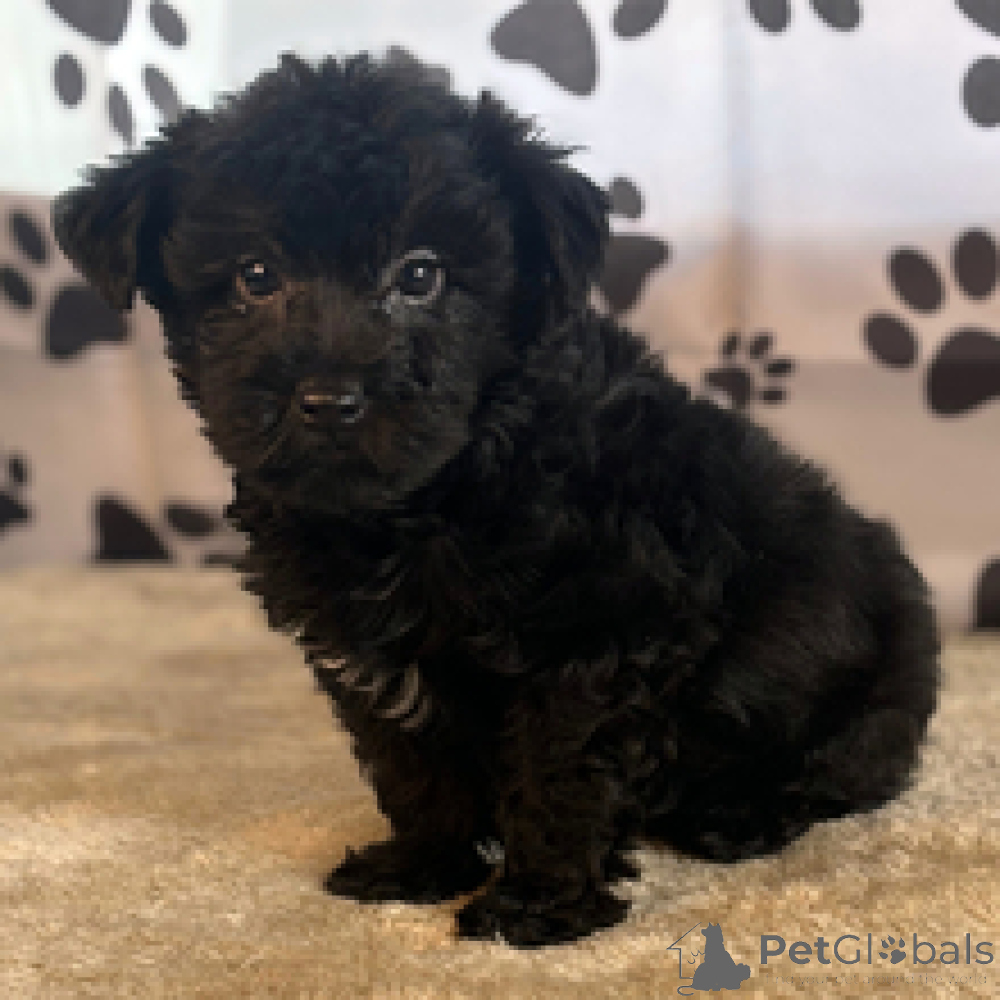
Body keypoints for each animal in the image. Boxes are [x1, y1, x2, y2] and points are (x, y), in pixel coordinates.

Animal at [52, 52, 940, 948]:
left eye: (420, 274)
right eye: (255, 276)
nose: (330, 400)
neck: (443, 490)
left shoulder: (603, 634)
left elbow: (559, 769)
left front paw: (539, 903)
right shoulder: (369, 656)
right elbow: (412, 765)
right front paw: (424, 866)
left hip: (864, 687)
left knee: (840, 773)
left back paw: (739, 815)